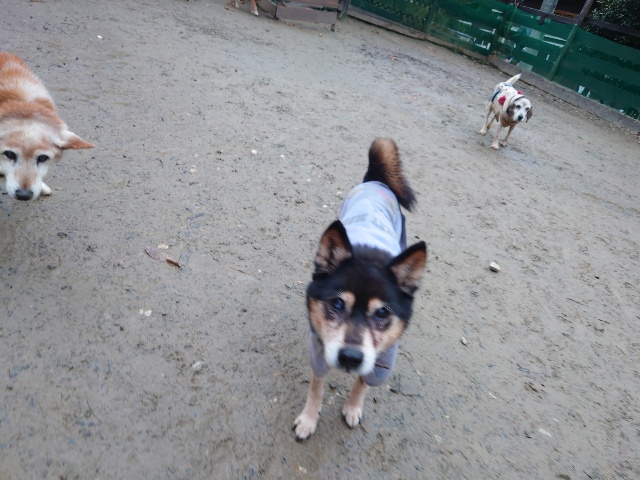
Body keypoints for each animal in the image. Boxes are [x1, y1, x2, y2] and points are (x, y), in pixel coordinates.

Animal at [293, 138, 427, 441]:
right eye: (337, 304)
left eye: (382, 313)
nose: (351, 358)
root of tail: (377, 180)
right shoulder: (319, 351)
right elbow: (316, 388)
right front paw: (309, 419)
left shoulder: (381, 362)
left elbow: (363, 383)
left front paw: (353, 407)